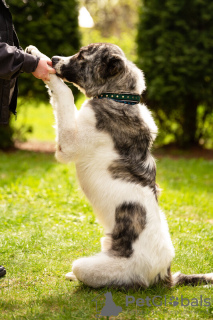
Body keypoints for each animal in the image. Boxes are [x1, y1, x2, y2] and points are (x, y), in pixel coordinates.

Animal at [25, 43, 213, 290]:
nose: (55, 58)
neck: (118, 98)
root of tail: (166, 275)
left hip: (93, 265)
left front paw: (42, 63)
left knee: (85, 271)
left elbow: (64, 94)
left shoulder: (69, 144)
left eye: (82, 56)